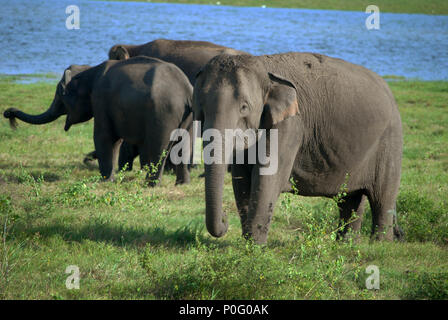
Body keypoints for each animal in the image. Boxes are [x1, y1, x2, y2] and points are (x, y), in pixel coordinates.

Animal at [3, 55, 192, 185]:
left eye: (59, 95)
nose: (8, 113)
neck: (89, 70)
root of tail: (186, 90)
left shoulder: (100, 99)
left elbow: (103, 137)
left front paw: (105, 181)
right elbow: (114, 140)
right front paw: (110, 179)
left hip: (163, 114)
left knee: (158, 147)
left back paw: (150, 185)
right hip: (187, 117)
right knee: (184, 144)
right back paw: (181, 184)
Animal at [194, 52, 404, 244]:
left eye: (244, 107)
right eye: (201, 107)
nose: (224, 218)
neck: (263, 67)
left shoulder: (291, 125)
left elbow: (268, 178)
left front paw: (254, 248)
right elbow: (242, 179)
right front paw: (247, 243)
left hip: (390, 140)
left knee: (382, 198)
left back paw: (379, 245)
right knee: (350, 198)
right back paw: (346, 244)